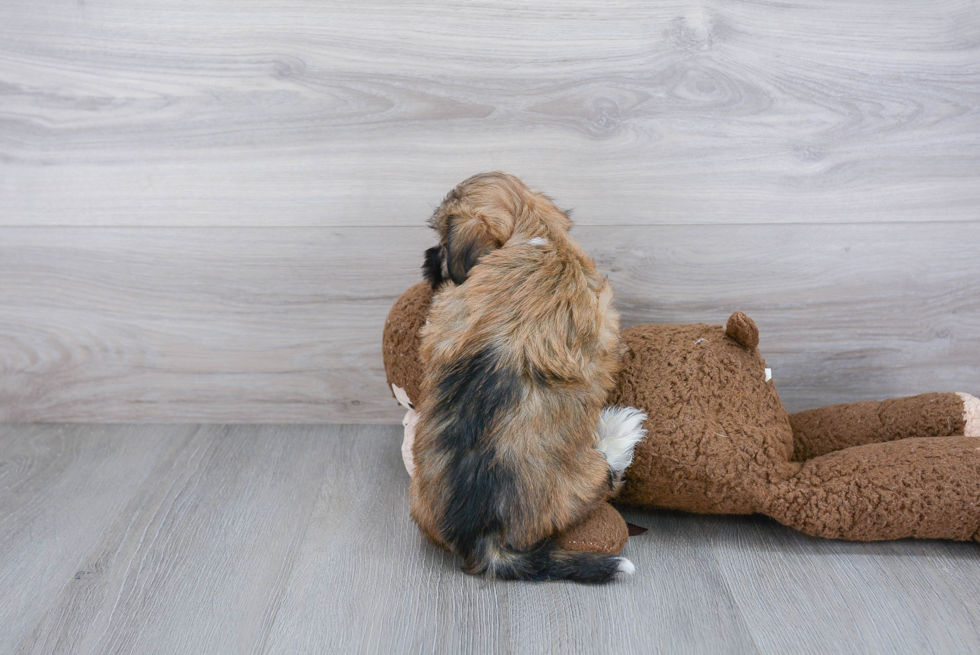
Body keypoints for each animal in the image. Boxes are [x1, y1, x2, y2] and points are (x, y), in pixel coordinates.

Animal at [410, 174, 648, 584]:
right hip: (582, 481)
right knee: (608, 478)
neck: (536, 233)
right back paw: (619, 435)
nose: (426, 257)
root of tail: (484, 538)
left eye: (440, 244)